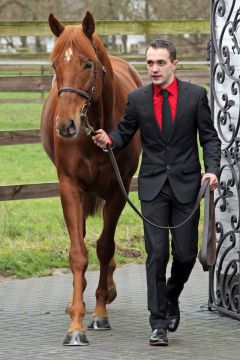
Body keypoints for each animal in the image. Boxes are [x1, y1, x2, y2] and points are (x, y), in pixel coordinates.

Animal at [40, 9, 142, 344]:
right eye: (54, 65)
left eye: (87, 64)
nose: (65, 126)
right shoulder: (70, 187)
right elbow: (78, 252)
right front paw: (76, 323)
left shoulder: (118, 190)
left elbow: (105, 247)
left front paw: (98, 312)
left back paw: (106, 292)